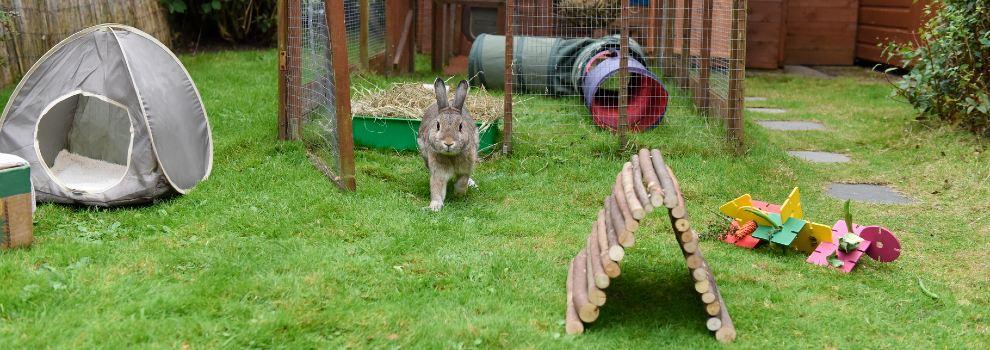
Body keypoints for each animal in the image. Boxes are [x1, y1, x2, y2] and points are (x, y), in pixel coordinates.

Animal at [418, 78, 480, 212]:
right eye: (437, 125)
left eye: (460, 126)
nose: (448, 143)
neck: (451, 156)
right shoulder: (438, 171)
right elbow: (437, 187)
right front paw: (435, 206)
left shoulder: (466, 168)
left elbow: (463, 181)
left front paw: (458, 194)